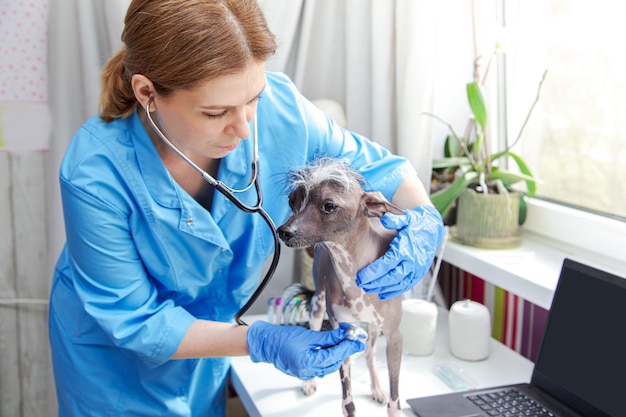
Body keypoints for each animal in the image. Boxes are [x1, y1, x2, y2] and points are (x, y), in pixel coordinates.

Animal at [278, 157, 404, 416]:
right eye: (292, 201)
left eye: (329, 206)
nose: (283, 232)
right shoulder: (344, 333)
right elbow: (348, 401)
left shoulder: (395, 337)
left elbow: (394, 400)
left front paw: (389, 399)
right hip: (318, 306)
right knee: (314, 336)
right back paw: (308, 381)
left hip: (374, 327)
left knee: (369, 353)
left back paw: (377, 388)